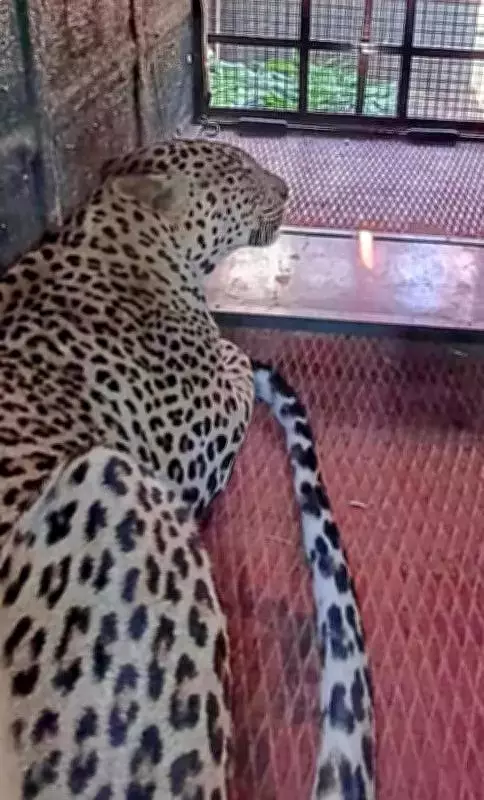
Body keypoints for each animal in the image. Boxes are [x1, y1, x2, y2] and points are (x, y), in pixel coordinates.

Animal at [0, 137, 375, 799]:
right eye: (240, 174)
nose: (283, 188)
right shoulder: (186, 448)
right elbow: (230, 360)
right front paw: (231, 353)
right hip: (115, 483)